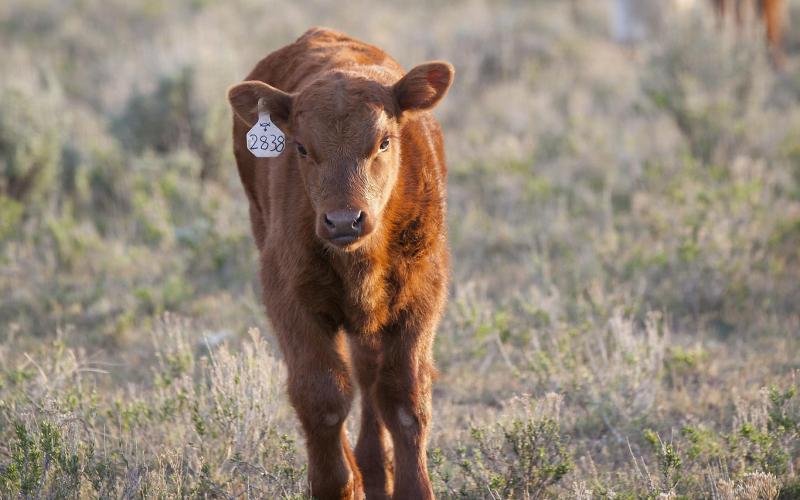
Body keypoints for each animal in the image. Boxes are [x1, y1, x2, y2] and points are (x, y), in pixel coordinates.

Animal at [227, 27, 453, 499]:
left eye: (384, 141)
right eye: (301, 147)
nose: (345, 220)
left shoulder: (422, 296)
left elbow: (404, 397)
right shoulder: (290, 299)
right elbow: (323, 396)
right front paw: (337, 484)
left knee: (369, 373)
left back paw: (376, 469)